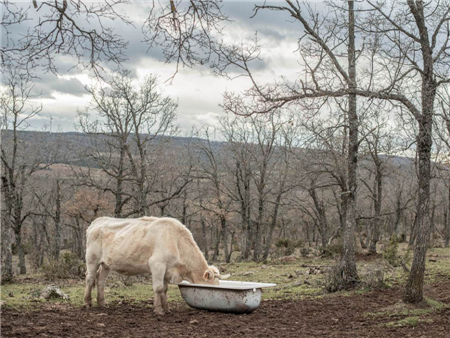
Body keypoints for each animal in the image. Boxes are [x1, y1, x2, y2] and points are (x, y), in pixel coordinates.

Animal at [84, 217, 220, 314]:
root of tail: (98, 220)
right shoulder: (157, 264)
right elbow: (158, 288)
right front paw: (159, 310)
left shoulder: (167, 269)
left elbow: (164, 289)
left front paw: (167, 309)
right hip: (92, 259)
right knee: (90, 279)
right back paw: (87, 303)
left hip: (106, 263)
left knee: (101, 281)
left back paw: (102, 303)